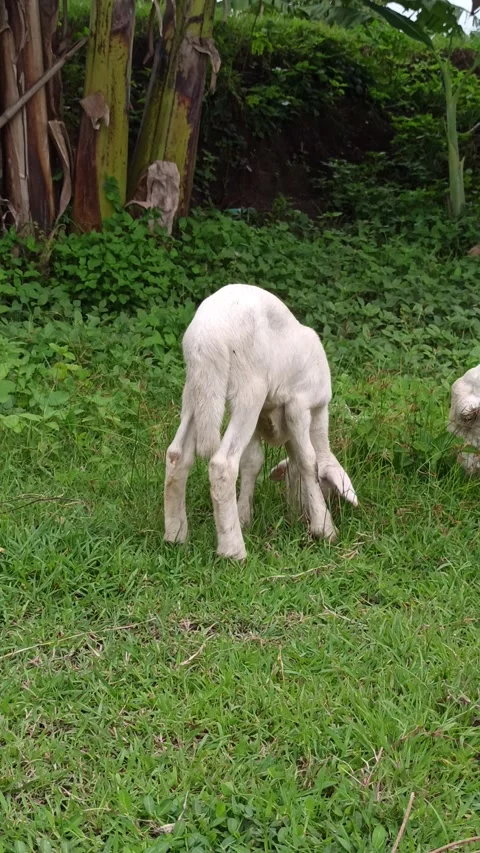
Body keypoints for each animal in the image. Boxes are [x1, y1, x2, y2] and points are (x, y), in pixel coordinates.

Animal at [164, 284, 358, 560]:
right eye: (327, 486)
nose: (299, 513)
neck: (319, 419)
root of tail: (205, 336)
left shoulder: (264, 416)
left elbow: (254, 462)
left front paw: (245, 516)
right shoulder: (299, 405)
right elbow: (308, 460)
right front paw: (324, 527)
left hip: (196, 390)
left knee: (177, 455)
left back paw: (176, 535)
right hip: (249, 390)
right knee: (223, 464)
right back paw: (233, 550)